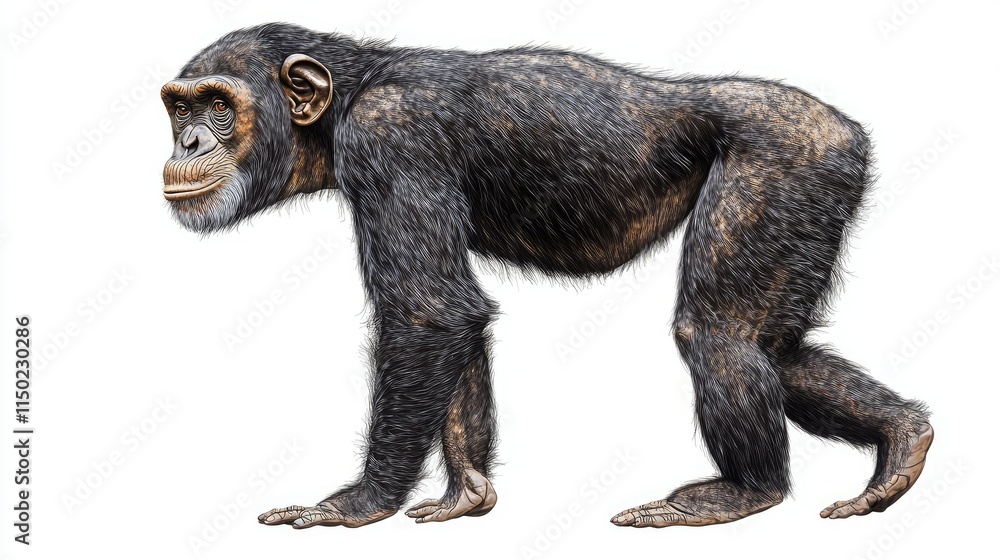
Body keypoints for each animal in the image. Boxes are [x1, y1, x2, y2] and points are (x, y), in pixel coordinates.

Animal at [160, 23, 933, 529]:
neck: (348, 97)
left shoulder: (389, 139)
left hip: (784, 165)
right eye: (179, 105)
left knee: (720, 335)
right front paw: (466, 493)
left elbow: (425, 313)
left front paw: (362, 503)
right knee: (772, 348)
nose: (188, 141)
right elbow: (455, 315)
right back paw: (902, 438)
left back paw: (746, 492)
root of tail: (848, 129)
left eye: (218, 105)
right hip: (812, 190)